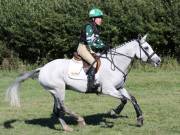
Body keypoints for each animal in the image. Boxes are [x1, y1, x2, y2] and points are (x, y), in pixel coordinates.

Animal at [5, 34, 160, 131]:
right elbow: (124, 100)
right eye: (146, 48)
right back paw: (80, 120)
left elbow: (132, 99)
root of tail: (42, 68)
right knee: (62, 107)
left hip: (54, 92)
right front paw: (114, 112)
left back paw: (67, 128)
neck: (116, 63)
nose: (158, 61)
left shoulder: (120, 87)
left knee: (57, 110)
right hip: (59, 89)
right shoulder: (108, 90)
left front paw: (140, 119)